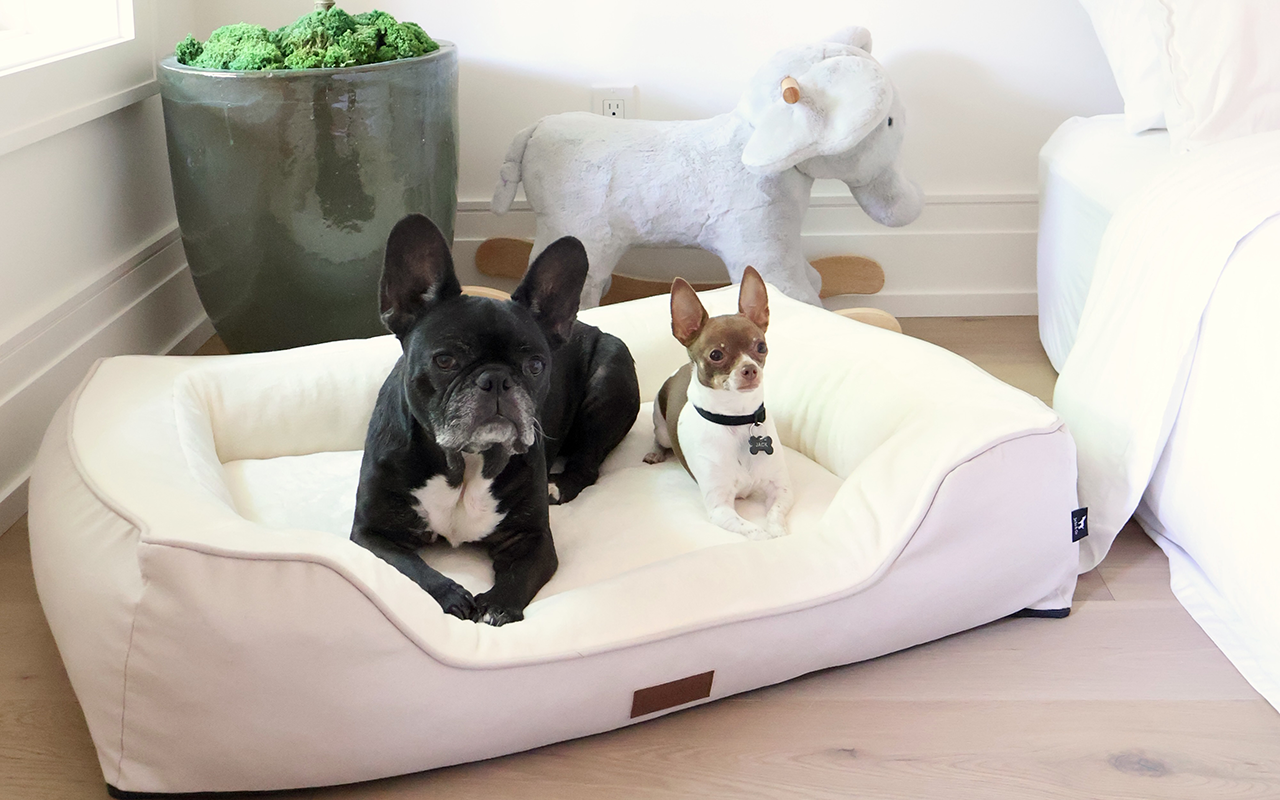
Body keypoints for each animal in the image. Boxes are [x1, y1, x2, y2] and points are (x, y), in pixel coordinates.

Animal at [351, 214, 640, 626]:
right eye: (445, 360)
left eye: (535, 365)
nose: (497, 379)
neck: (465, 463)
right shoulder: (373, 535)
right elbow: (412, 569)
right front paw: (451, 594)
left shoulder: (532, 540)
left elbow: (520, 575)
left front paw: (496, 606)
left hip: (609, 375)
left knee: (587, 463)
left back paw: (558, 486)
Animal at [644, 267, 794, 540]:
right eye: (716, 355)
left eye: (761, 347)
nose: (750, 369)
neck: (736, 419)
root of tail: (681, 369)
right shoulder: (720, 508)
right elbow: (755, 531)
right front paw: (766, 537)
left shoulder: (782, 490)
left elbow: (775, 515)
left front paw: (778, 532)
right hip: (661, 430)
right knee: (658, 438)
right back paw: (654, 453)